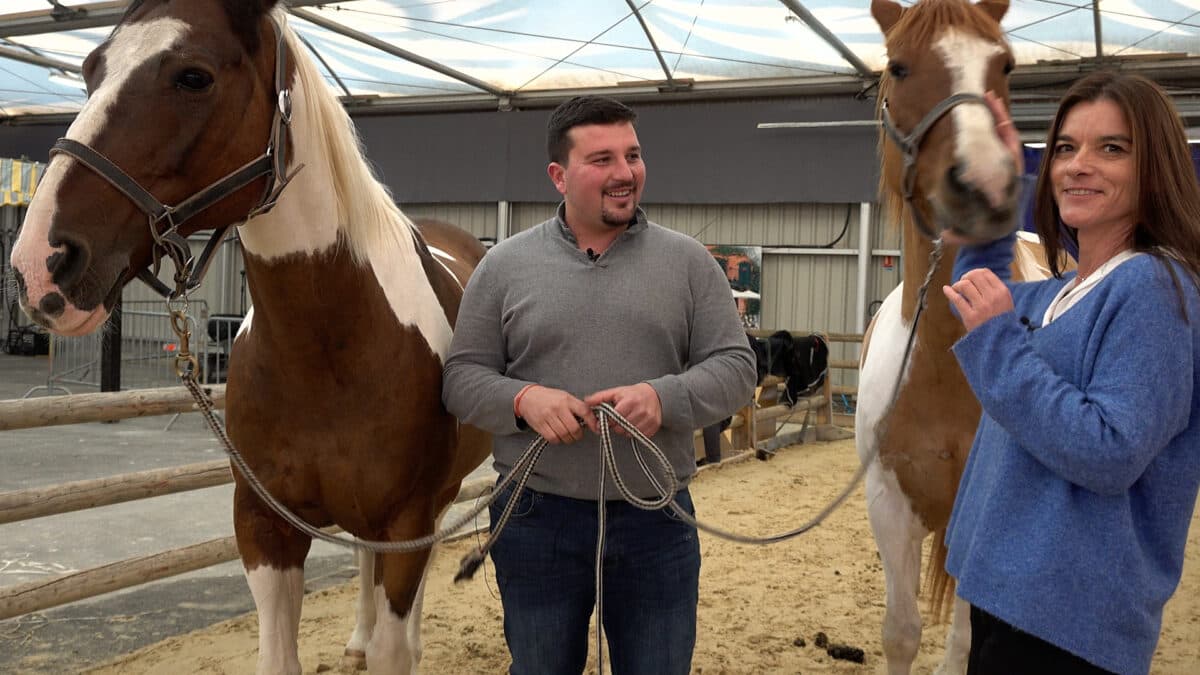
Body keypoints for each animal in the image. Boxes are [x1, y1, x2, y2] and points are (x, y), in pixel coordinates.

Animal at [8, 2, 487, 667]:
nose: (38, 264)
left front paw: (400, 648)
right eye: (89, 71)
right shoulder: (263, 524)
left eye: (193, 77)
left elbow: (395, 641)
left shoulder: (406, 523)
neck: (331, 350)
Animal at [854, 1, 1032, 672]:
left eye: (1004, 65)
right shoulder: (887, 503)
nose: (985, 185)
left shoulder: (977, 520)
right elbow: (901, 633)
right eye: (900, 67)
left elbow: (962, 642)